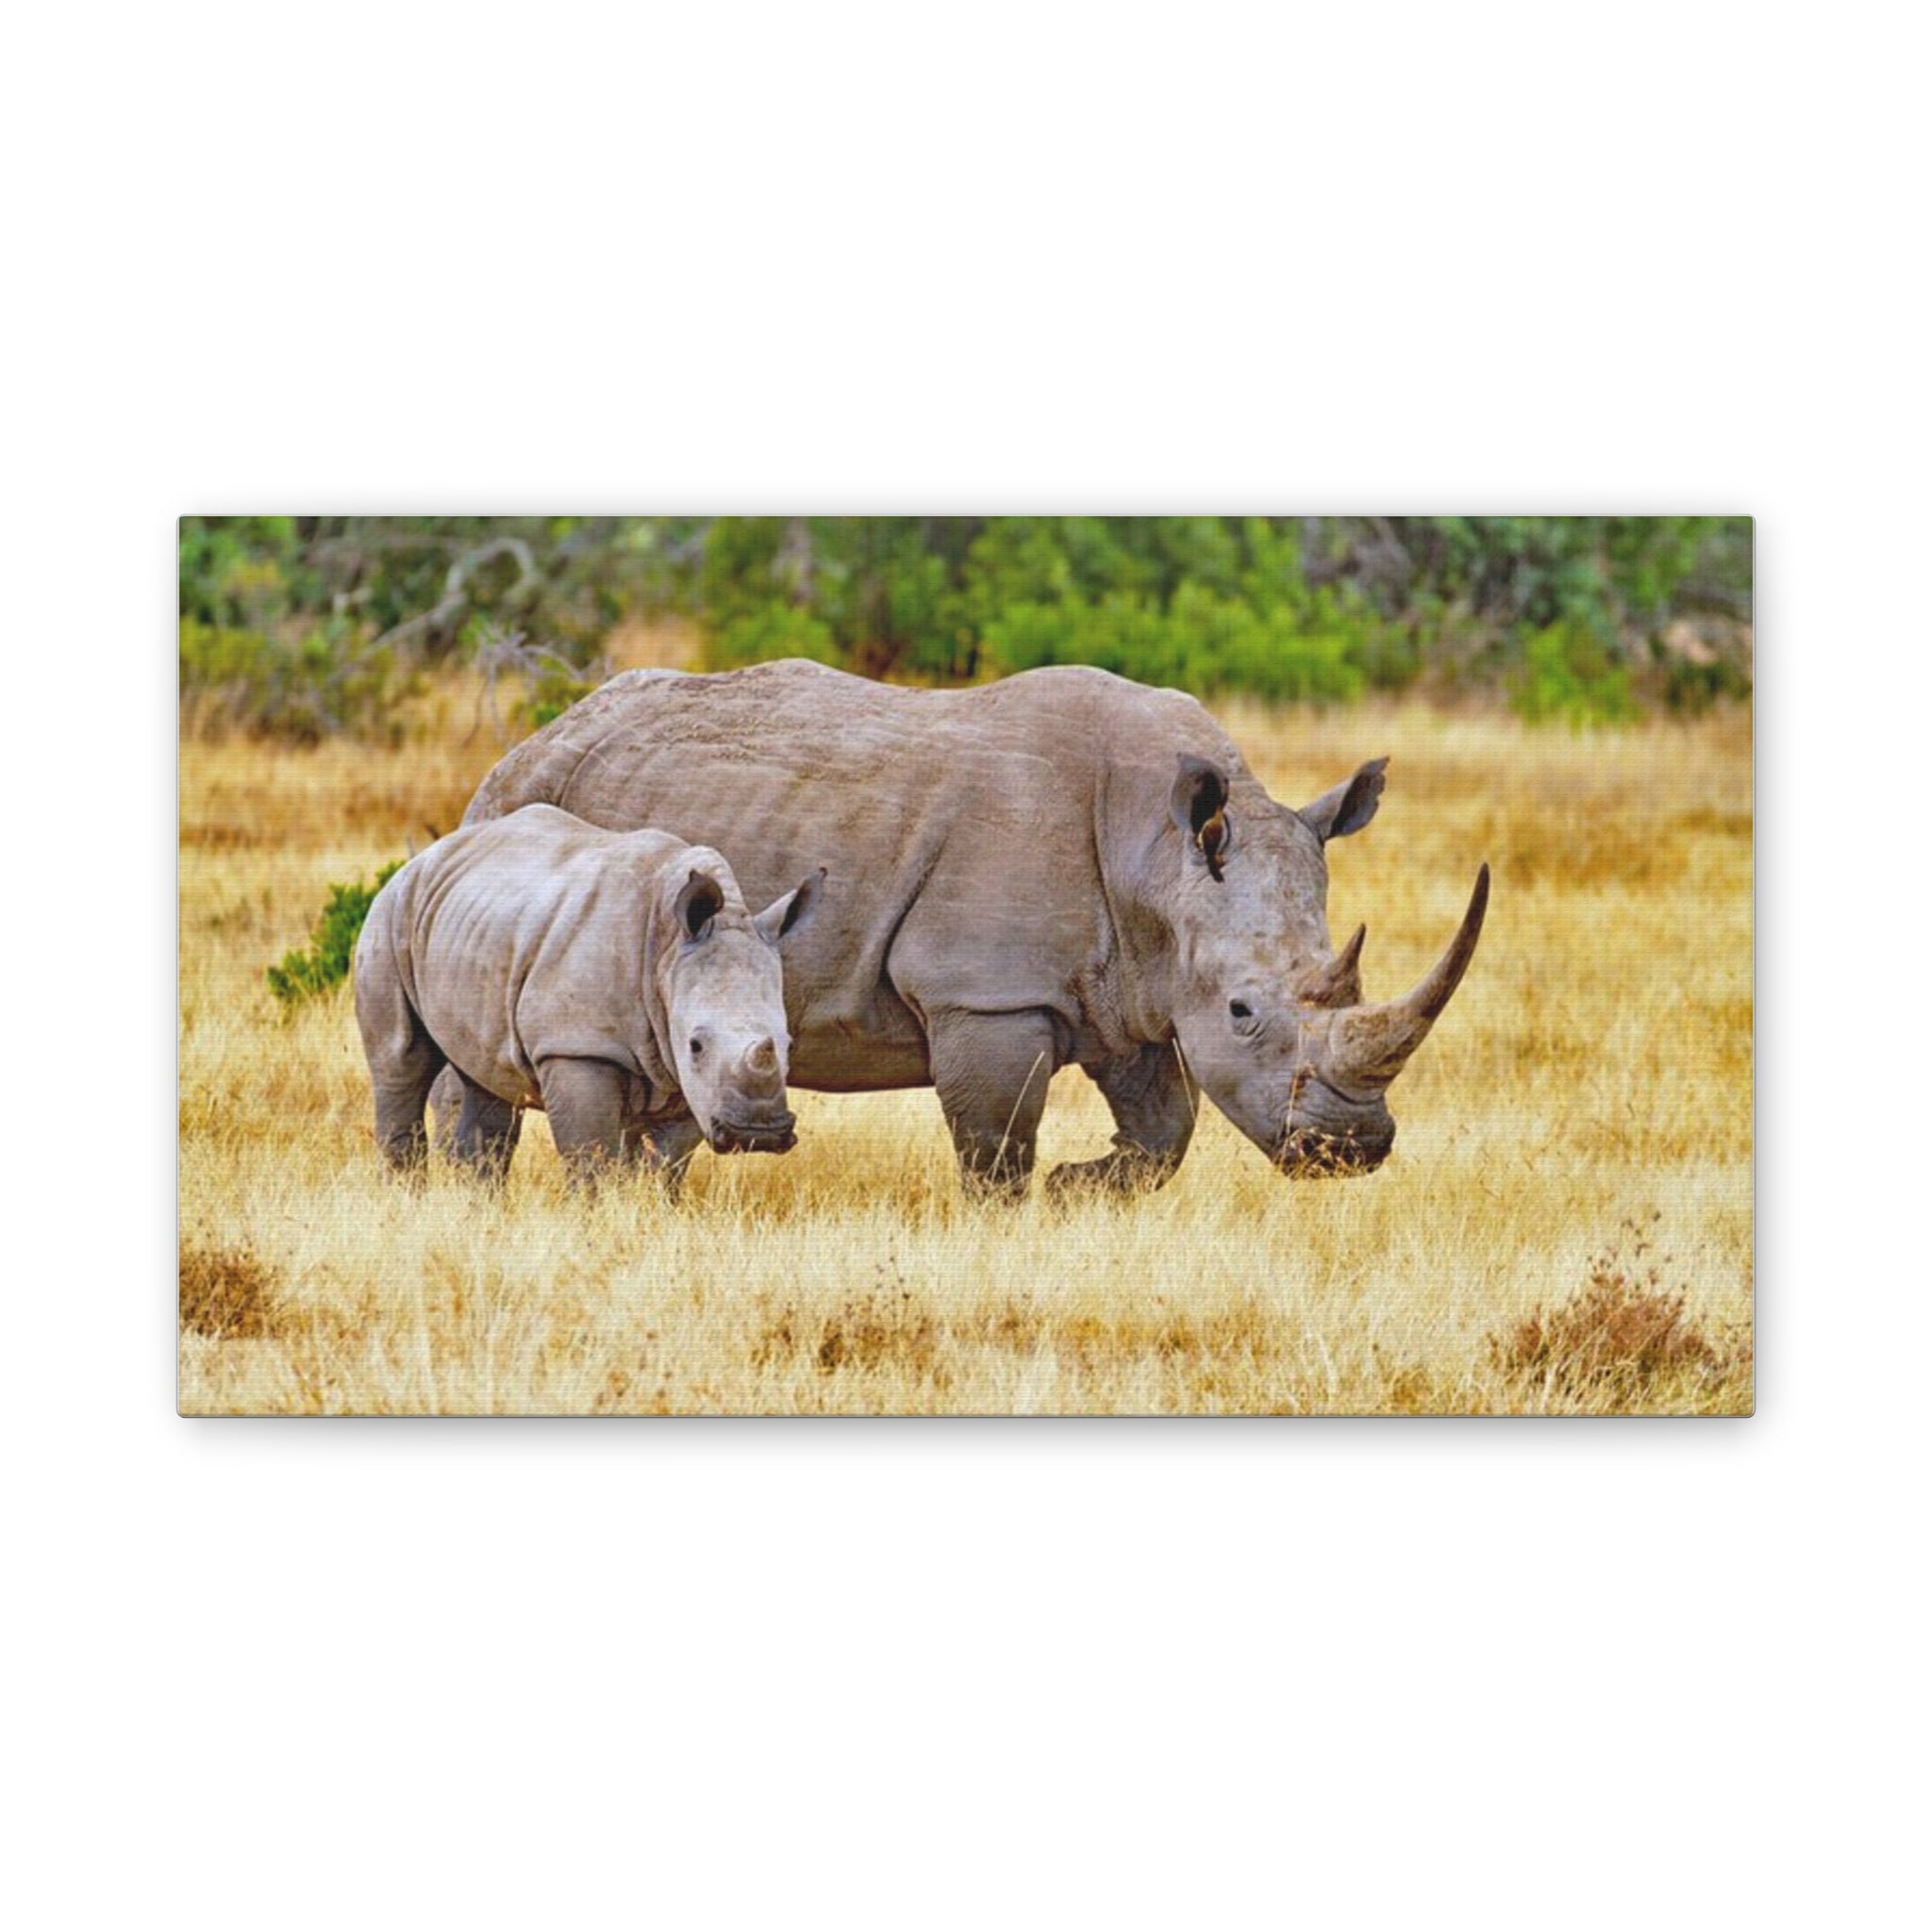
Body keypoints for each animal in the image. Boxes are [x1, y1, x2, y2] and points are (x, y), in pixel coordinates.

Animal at [355, 803, 822, 1184]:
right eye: (696, 1045)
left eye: (788, 1044)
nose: (756, 1134)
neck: (668, 950)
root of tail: (426, 857)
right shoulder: (578, 1046)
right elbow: (590, 1157)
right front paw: (593, 1217)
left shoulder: (686, 1075)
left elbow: (665, 1164)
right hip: (390, 914)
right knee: (401, 1062)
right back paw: (405, 1196)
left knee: (487, 1080)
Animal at [439, 660, 1488, 1198]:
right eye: (1241, 1011)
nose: (1350, 1149)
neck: (1157, 855)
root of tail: (529, 737)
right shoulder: (986, 993)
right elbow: (995, 1141)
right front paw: (1019, 1208)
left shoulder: (1129, 985)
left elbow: (1166, 1132)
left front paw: (1079, 1185)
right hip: (516, 810)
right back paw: (465, 1196)